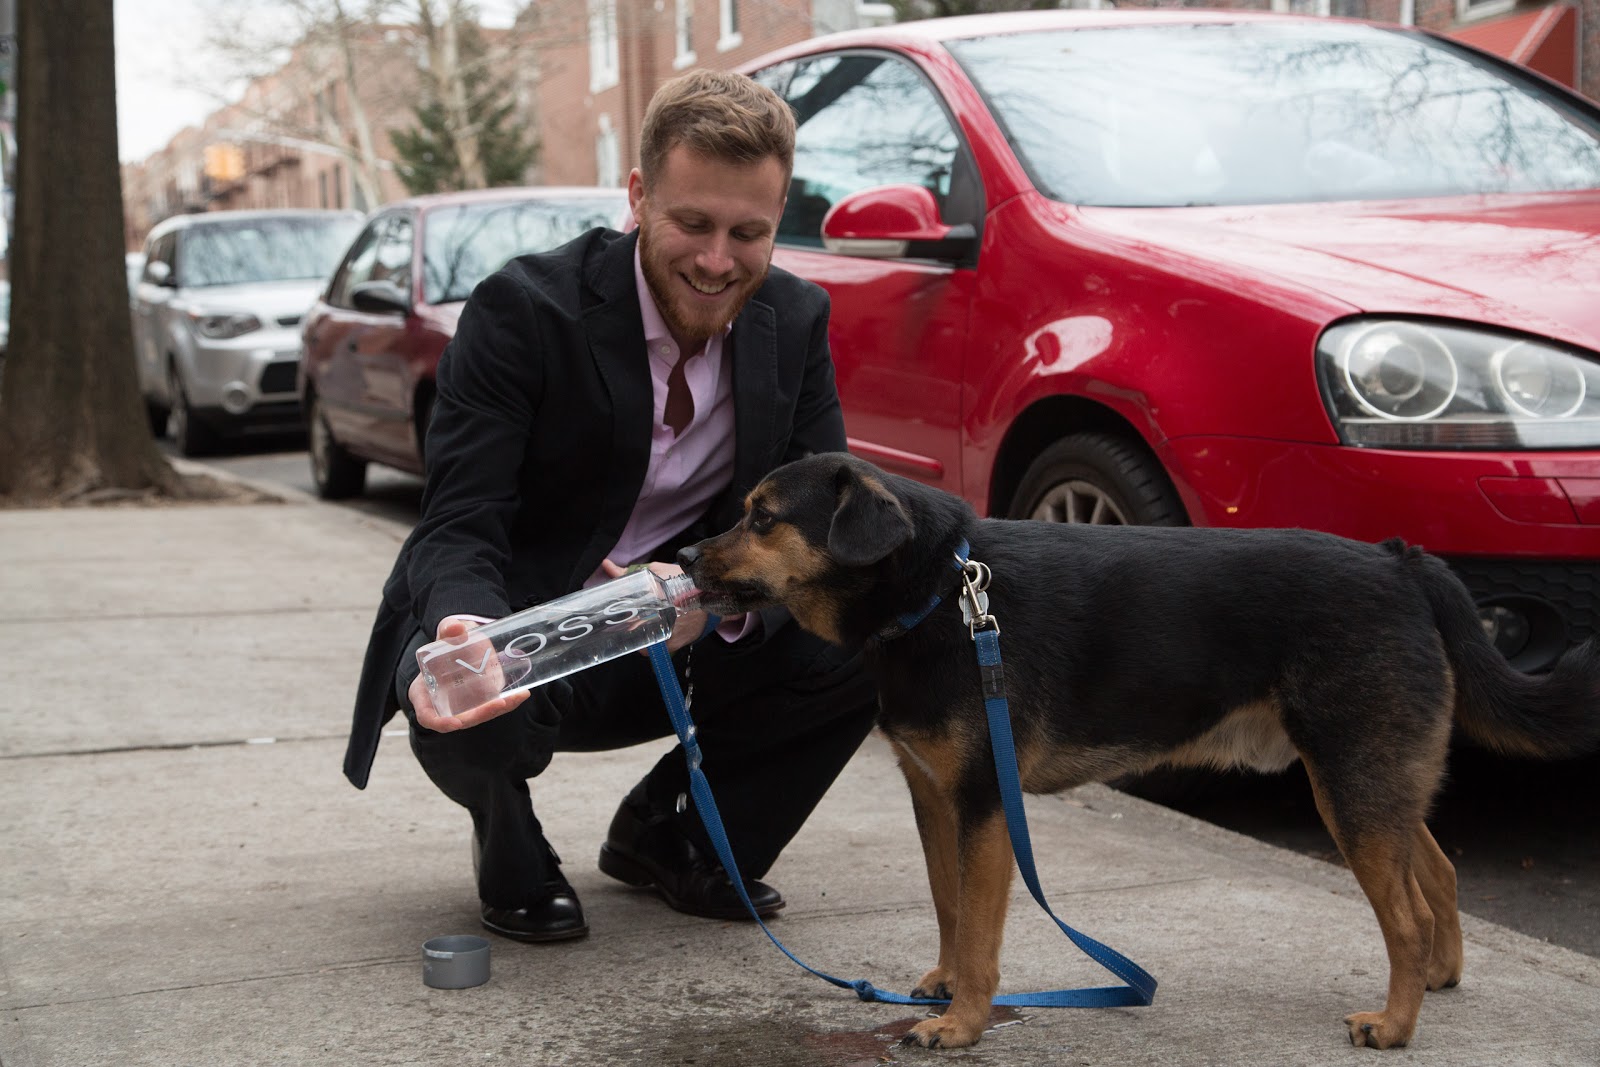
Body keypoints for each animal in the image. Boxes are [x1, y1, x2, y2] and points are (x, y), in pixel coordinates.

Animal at [681, 451, 1600, 1049]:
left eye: (763, 517)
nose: (686, 556)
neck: (941, 593)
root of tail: (1401, 563)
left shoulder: (984, 803)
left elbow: (979, 929)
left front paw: (963, 1023)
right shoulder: (933, 794)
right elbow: (948, 905)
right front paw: (941, 986)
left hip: (1350, 781)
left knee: (1403, 912)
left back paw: (1397, 1024)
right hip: (1371, 779)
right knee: (1436, 870)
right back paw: (1442, 975)